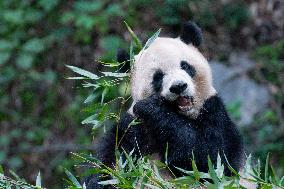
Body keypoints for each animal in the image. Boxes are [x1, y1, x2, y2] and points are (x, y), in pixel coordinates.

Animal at [85, 21, 244, 188]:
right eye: (158, 77)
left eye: (185, 66)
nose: (178, 86)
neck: (183, 116)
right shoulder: (133, 126)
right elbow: (113, 158)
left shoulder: (213, 110)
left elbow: (211, 158)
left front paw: (151, 107)